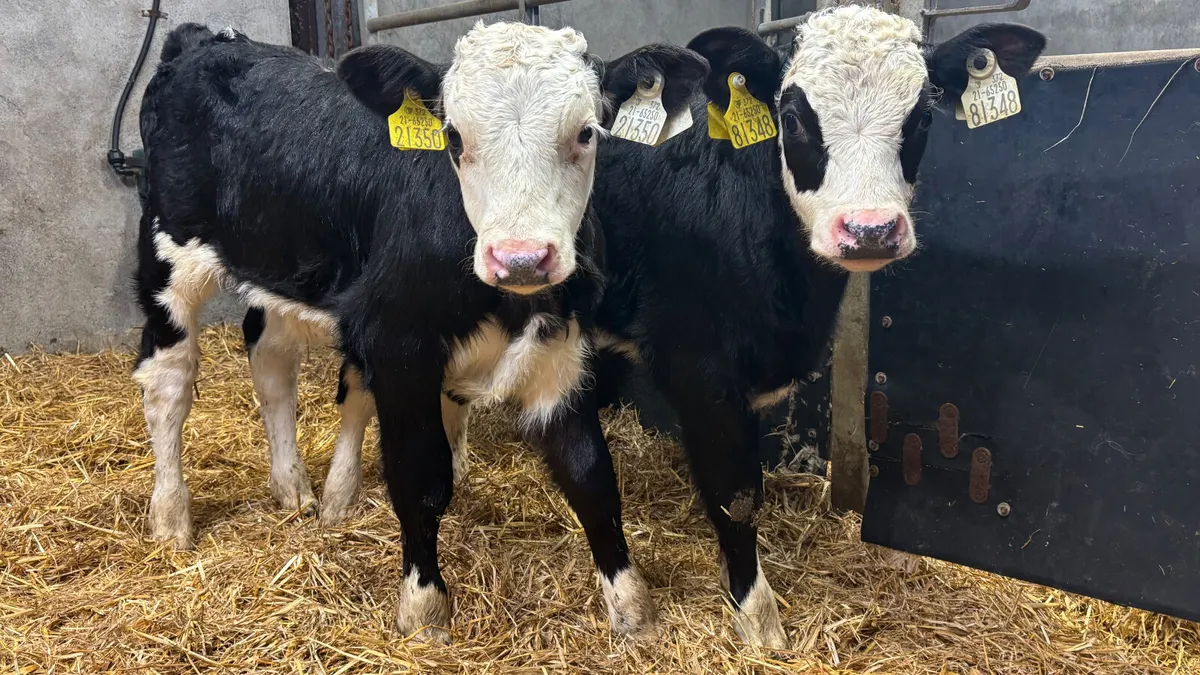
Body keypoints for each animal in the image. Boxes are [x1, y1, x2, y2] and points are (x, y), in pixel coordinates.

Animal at [133, 21, 707, 642]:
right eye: (453, 136)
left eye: (586, 132)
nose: (522, 258)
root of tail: (205, 38)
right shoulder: (399, 347)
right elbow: (420, 478)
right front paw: (423, 606)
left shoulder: (561, 348)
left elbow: (591, 477)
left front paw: (631, 608)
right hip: (168, 254)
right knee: (170, 383)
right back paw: (171, 515)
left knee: (275, 363)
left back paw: (303, 490)